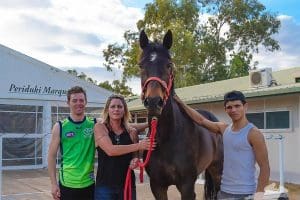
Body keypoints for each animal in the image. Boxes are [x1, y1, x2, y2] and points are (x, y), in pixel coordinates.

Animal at [138, 30, 223, 200]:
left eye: (169, 65)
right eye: (141, 66)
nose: (153, 102)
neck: (166, 137)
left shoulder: (187, 186)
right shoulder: (157, 186)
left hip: (217, 171)